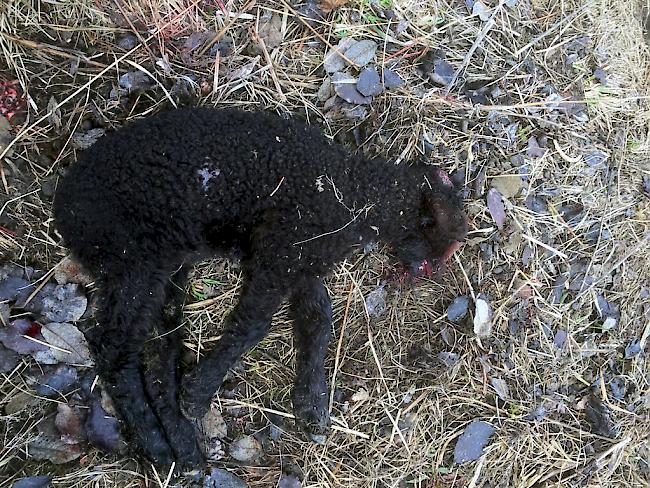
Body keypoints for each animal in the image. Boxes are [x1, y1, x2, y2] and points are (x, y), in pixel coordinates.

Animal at [50, 107, 466, 468]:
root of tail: (64, 206)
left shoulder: (302, 263)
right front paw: (200, 391)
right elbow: (253, 324)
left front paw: (312, 402)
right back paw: (159, 443)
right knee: (116, 350)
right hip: (138, 256)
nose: (431, 273)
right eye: (439, 242)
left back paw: (182, 445)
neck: (355, 194)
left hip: (166, 269)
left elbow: (319, 319)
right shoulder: (283, 252)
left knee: (157, 354)